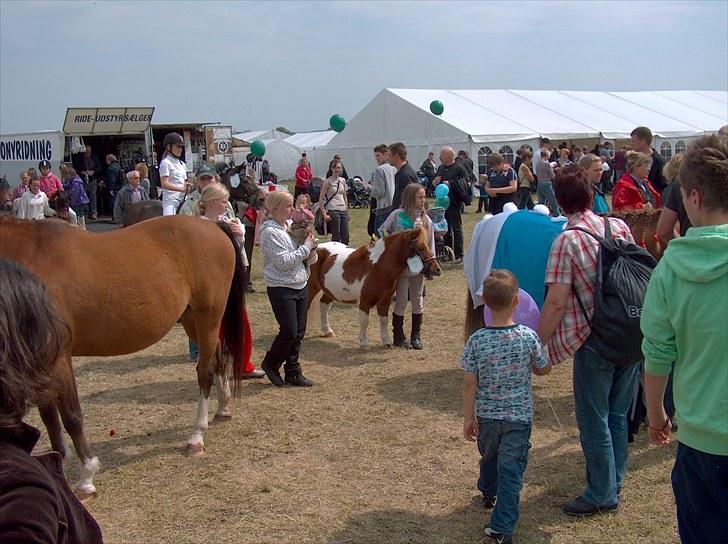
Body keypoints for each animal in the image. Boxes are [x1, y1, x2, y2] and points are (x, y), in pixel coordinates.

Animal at [304, 226, 440, 346]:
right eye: (421, 247)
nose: (437, 269)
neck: (377, 267)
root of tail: (316, 248)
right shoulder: (364, 301)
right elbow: (365, 321)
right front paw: (364, 342)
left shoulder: (385, 301)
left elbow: (384, 320)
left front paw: (386, 341)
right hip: (311, 289)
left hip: (330, 290)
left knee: (324, 305)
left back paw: (327, 331)